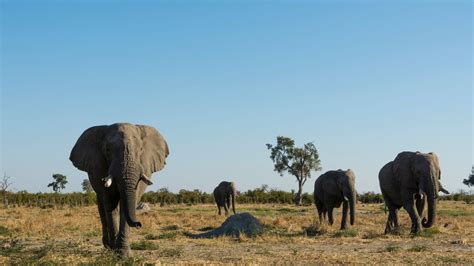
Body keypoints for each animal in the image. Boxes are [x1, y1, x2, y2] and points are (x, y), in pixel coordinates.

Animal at [69, 122, 168, 256]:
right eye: (107, 150)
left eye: (140, 150)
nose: (139, 224)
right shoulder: (100, 166)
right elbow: (111, 203)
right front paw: (115, 250)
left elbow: (127, 205)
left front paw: (124, 254)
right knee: (102, 206)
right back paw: (108, 245)